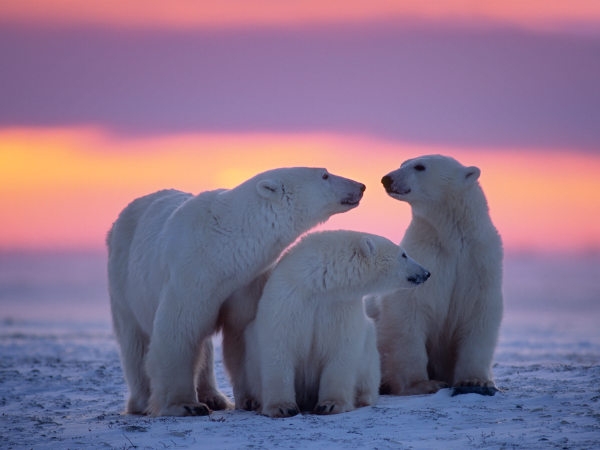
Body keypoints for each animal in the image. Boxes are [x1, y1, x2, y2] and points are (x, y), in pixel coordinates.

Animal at [107, 167, 366, 416]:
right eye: (325, 175)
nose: (361, 186)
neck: (223, 247)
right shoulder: (190, 273)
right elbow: (179, 330)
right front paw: (185, 406)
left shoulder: (247, 281)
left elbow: (242, 332)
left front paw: (252, 399)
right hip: (123, 278)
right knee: (135, 341)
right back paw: (143, 402)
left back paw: (214, 397)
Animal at [240, 230, 432, 416]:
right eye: (403, 254)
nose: (426, 273)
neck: (319, 284)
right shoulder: (289, 299)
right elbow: (279, 346)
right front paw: (282, 407)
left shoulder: (340, 306)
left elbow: (341, 348)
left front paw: (330, 405)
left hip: (369, 354)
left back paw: (362, 398)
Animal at [372, 156, 504, 398]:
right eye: (403, 162)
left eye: (419, 166)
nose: (387, 179)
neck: (451, 239)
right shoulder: (425, 258)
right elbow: (409, 311)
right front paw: (423, 384)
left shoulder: (479, 262)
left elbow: (480, 312)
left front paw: (475, 380)